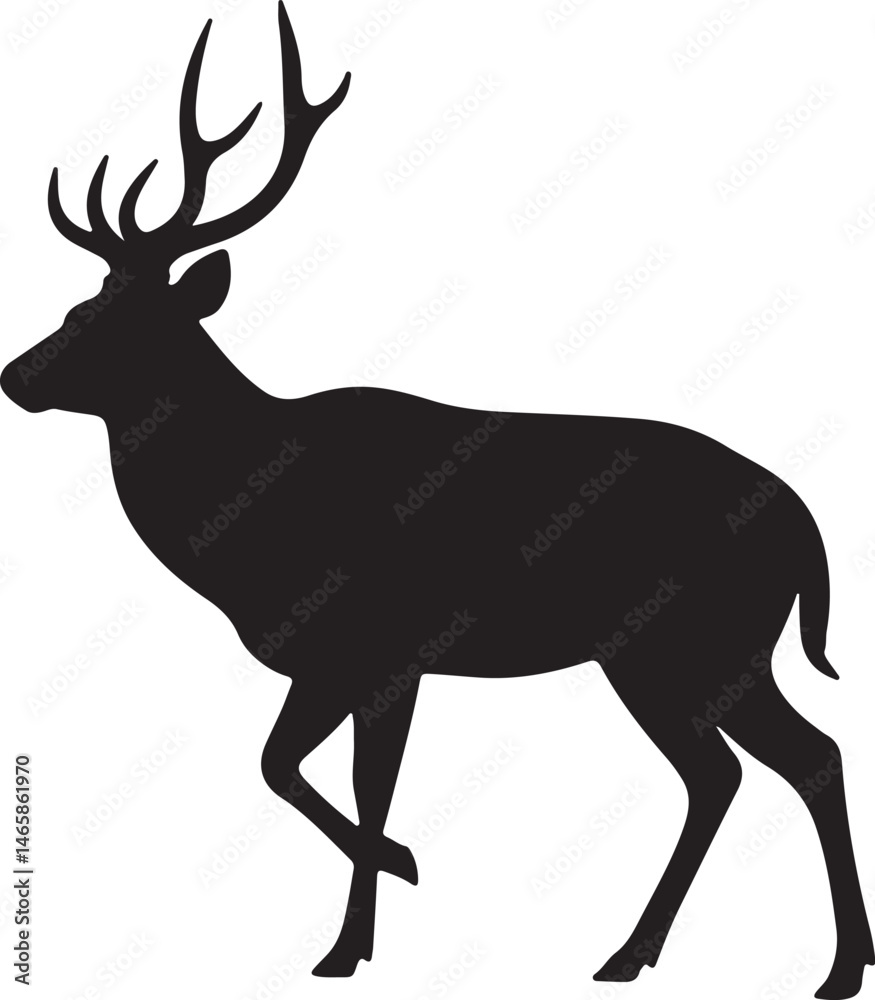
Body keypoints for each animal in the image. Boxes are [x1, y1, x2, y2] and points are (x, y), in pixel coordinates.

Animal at [1, 5, 872, 997]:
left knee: (769, 763)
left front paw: (372, 907)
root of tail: (805, 525)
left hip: (688, 644)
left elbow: (326, 779)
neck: (245, 531)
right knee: (759, 766)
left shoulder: (382, 648)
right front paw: (366, 921)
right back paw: (670, 954)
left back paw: (790, 963)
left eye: (110, 319)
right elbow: (293, 769)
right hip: (697, 655)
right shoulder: (335, 662)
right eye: (76, 305)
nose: (14, 375)